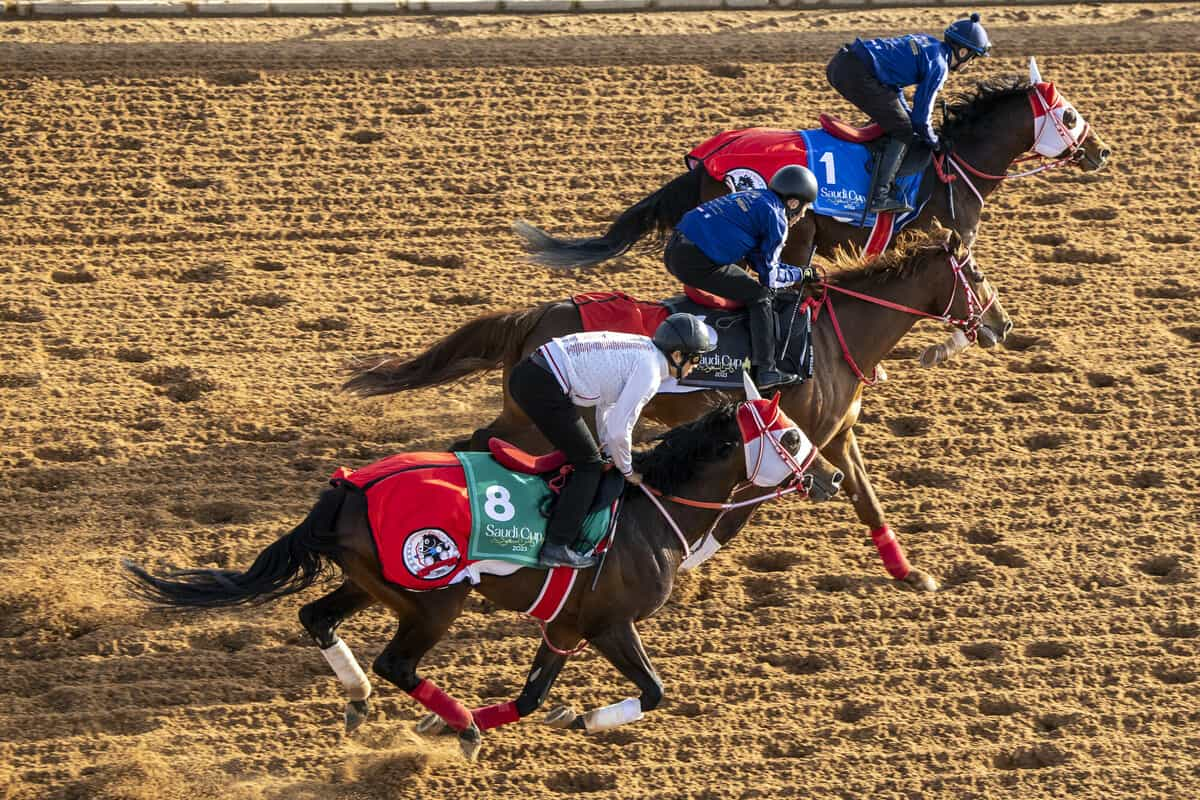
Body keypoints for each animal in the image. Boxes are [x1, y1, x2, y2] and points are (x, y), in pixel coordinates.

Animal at [124, 391, 844, 762]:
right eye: (790, 436)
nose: (834, 477)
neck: (651, 511)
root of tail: (345, 488)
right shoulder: (609, 623)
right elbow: (655, 690)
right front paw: (582, 719)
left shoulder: (565, 627)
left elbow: (530, 697)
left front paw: (548, 716)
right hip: (434, 599)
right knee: (396, 663)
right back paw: (456, 721)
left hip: (371, 583)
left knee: (316, 617)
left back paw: (364, 700)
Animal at [345, 225, 1012, 594]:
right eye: (976, 274)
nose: (1002, 324)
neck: (828, 335)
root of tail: (536, 318)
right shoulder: (791, 440)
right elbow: (741, 511)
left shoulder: (835, 437)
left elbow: (867, 499)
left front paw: (910, 573)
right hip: (540, 419)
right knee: (483, 443)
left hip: (530, 420)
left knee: (483, 440)